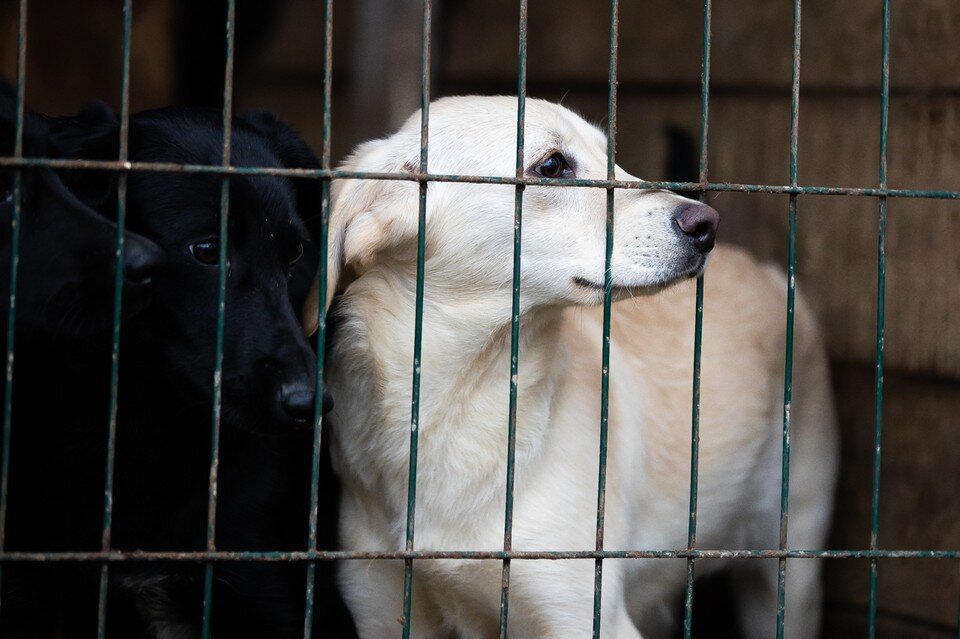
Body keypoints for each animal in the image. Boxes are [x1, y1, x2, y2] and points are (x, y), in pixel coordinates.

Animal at [304, 96, 836, 639]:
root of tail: (768, 271)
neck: (459, 402)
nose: (707, 223)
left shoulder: (589, 613)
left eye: (610, 156)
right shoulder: (382, 607)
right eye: (552, 166)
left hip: (787, 575)